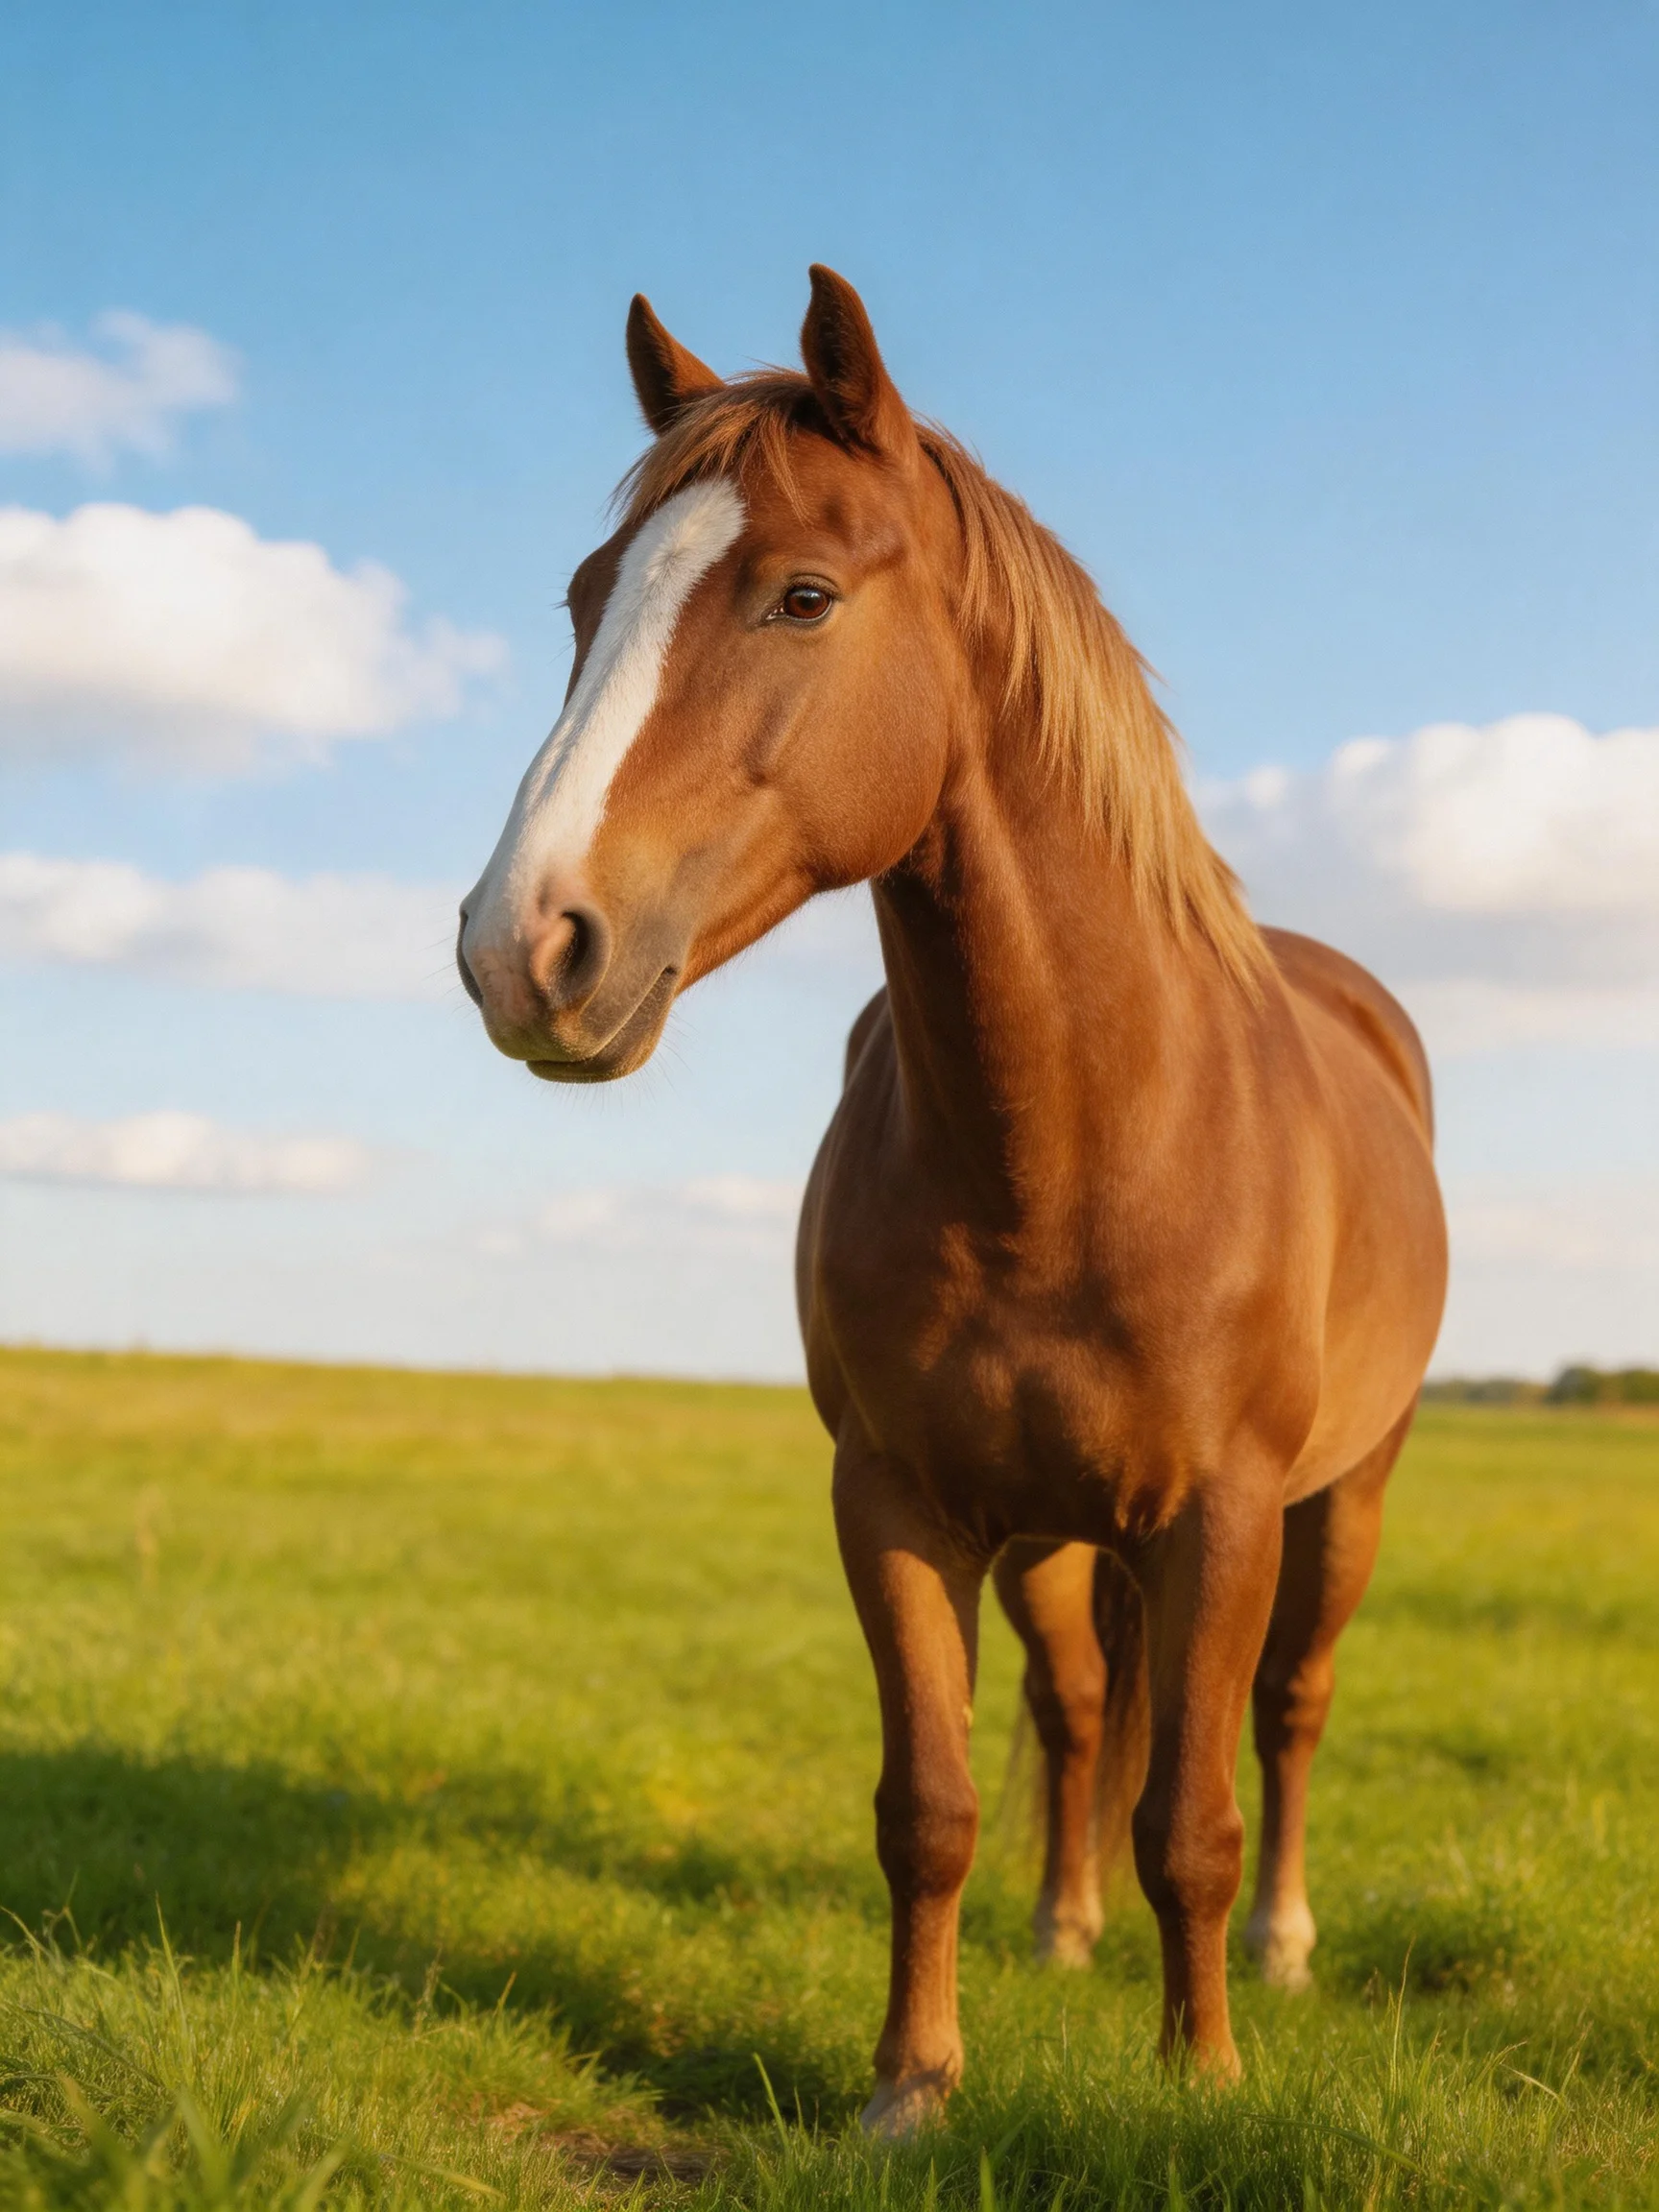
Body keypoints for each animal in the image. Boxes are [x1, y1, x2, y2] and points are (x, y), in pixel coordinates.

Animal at [457, 267, 1447, 2137]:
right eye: (581, 600)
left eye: (803, 594)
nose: (522, 948)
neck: (1073, 1148)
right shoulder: (898, 1501)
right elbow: (930, 1807)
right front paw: (911, 2082)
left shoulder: (1219, 1515)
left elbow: (1191, 1818)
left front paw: (1201, 2072)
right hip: (1053, 1535)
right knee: (1075, 1707)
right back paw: (1061, 1929)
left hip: (1344, 1495)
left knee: (1287, 1712)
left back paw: (1280, 1950)